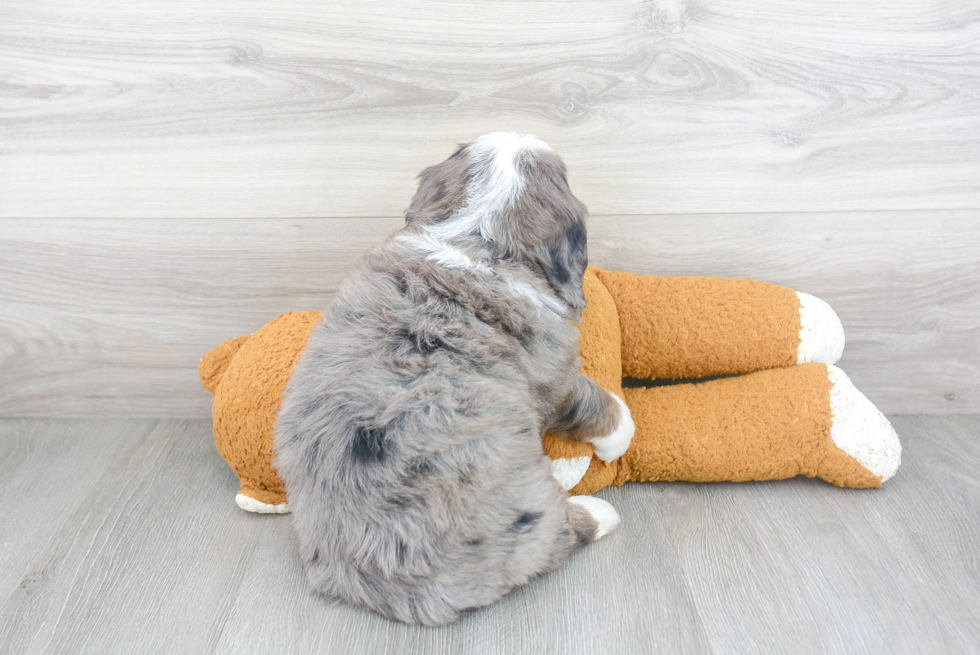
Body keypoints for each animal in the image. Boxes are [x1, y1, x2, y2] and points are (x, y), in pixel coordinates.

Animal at [274, 132, 636, 624]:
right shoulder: (554, 374)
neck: (477, 237)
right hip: (528, 519)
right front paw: (622, 433)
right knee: (557, 537)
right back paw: (593, 509)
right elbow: (593, 400)